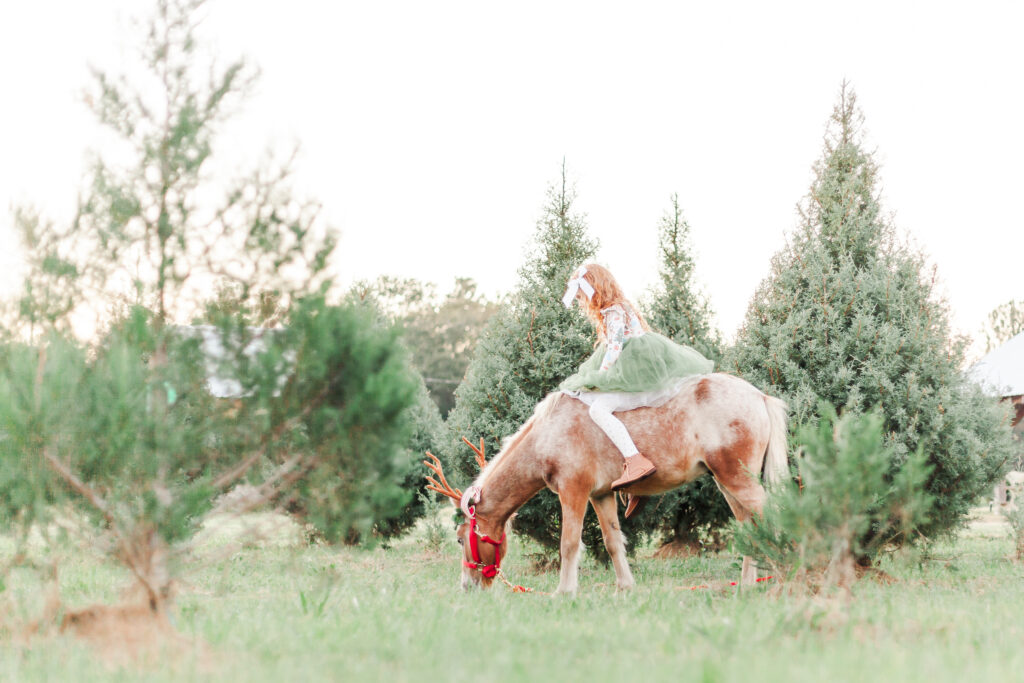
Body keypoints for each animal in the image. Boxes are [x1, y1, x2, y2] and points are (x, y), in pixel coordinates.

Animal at [423, 374, 782, 593]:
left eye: (460, 539)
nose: (467, 586)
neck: (548, 432)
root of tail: (760, 396)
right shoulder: (601, 495)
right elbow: (612, 541)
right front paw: (625, 587)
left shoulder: (574, 491)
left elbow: (569, 543)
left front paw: (564, 591)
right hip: (727, 483)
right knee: (750, 526)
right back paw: (748, 584)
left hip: (736, 479)